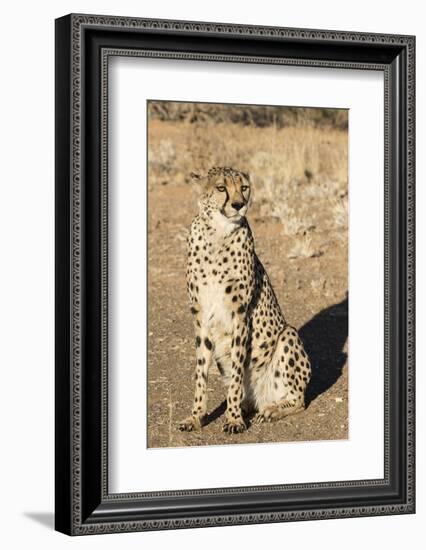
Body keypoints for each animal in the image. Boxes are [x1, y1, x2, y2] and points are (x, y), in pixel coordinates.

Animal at [178, 166, 312, 434]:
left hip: (288, 334)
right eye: (221, 188)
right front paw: (196, 416)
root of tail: (259, 398)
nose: (239, 204)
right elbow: (200, 372)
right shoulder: (201, 317)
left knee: (299, 400)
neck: (217, 233)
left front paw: (232, 419)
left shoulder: (240, 315)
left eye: (244, 187)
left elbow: (238, 371)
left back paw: (271, 410)